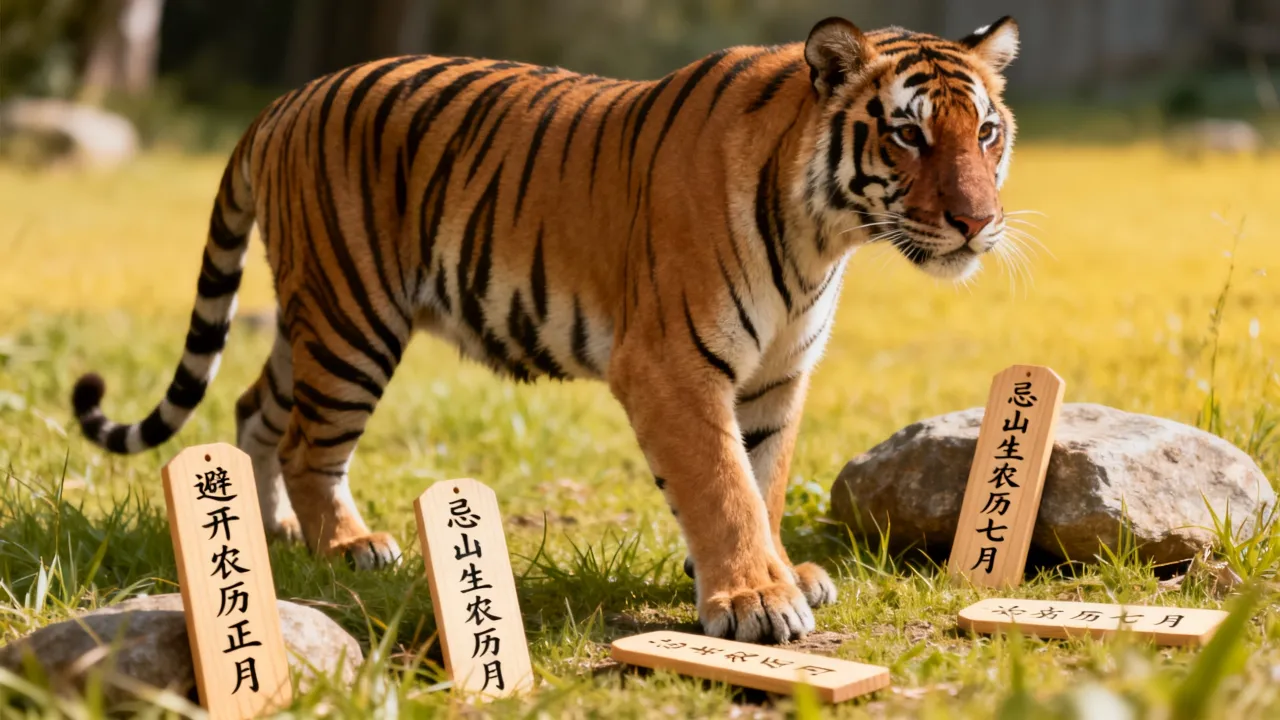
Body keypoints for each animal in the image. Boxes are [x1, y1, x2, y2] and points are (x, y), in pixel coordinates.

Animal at [72, 15, 1020, 643]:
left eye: (986, 131)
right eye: (907, 135)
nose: (977, 223)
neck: (826, 234)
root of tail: (283, 101)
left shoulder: (777, 376)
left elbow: (763, 478)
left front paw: (773, 575)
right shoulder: (673, 365)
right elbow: (722, 484)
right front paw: (755, 598)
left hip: (313, 312)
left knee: (255, 407)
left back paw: (272, 531)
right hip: (352, 318)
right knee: (312, 444)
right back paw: (348, 545)